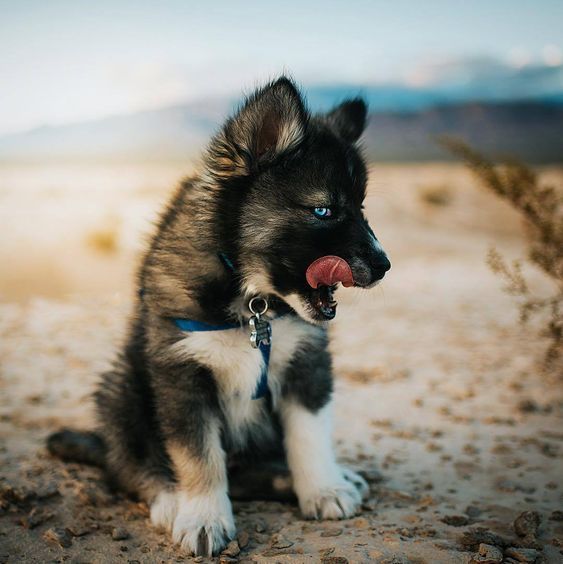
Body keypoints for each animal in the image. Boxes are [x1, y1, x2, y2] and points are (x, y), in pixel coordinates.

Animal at [47, 76, 392, 556]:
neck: (253, 303)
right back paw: (170, 500)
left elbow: (309, 433)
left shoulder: (307, 362)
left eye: (361, 207)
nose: (384, 265)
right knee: (129, 464)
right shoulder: (181, 373)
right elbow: (198, 456)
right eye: (323, 210)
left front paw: (324, 488)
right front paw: (204, 518)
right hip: (123, 387)